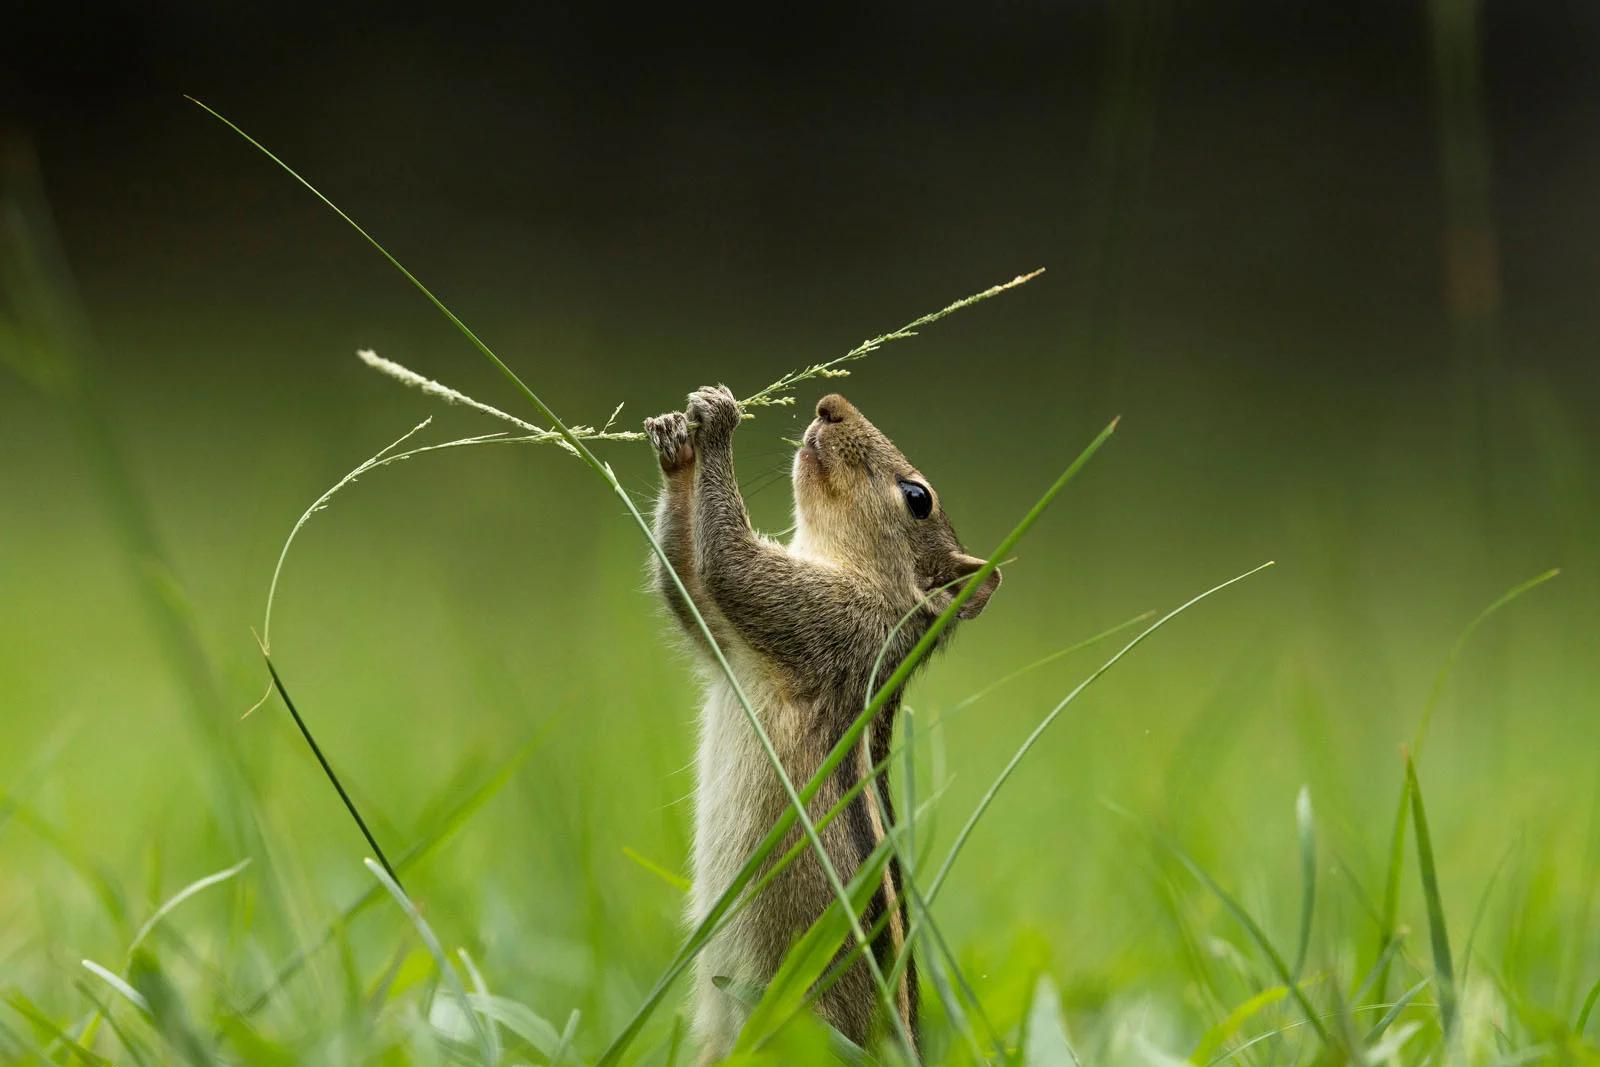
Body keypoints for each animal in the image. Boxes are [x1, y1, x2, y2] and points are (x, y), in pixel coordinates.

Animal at [640, 383, 992, 1062]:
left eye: (918, 497)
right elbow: (687, 582)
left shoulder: (826, 619)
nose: (831, 402)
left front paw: (717, 422)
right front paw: (677, 443)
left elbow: (728, 565)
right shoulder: (730, 639)